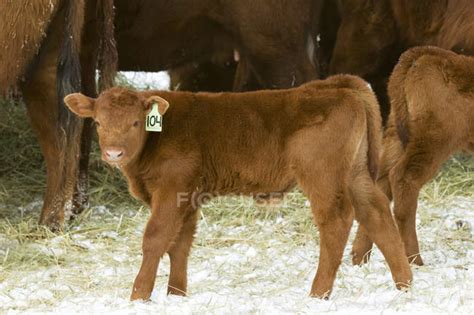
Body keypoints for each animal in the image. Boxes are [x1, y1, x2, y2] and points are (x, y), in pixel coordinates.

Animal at [63, 76, 412, 302]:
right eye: (98, 123)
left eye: (136, 123)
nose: (113, 153)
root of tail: (335, 85)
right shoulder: (188, 195)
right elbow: (180, 243)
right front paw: (176, 294)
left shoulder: (171, 189)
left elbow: (156, 238)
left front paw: (139, 295)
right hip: (356, 174)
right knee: (377, 213)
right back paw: (405, 284)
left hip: (323, 177)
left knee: (336, 222)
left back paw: (318, 294)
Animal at [350, 47, 474, 268]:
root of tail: (426, 54)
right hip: (432, 142)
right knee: (403, 179)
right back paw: (414, 260)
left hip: (397, 137)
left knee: (381, 184)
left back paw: (360, 257)